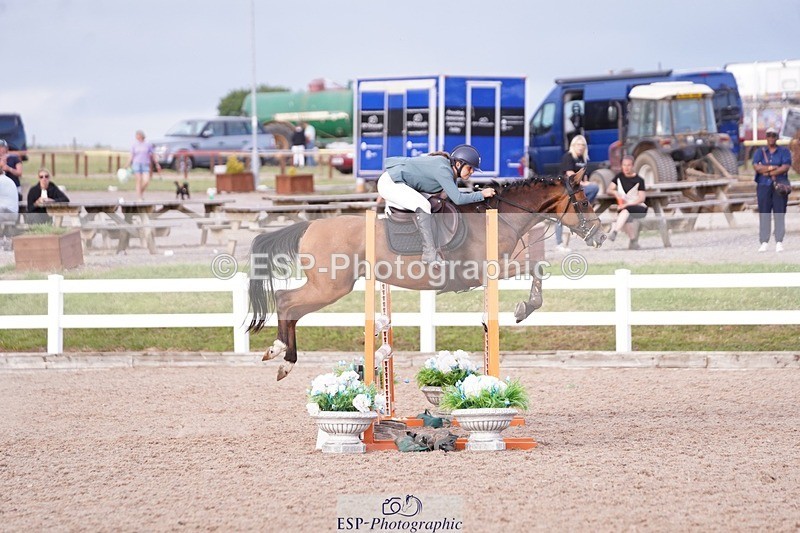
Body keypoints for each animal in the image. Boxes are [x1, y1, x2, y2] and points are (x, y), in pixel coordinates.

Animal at [248, 168, 606, 380]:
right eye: (584, 202)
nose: (601, 237)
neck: (499, 215)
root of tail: (309, 226)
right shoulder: (487, 269)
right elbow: (535, 268)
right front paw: (524, 308)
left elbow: (536, 268)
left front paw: (523, 308)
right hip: (330, 286)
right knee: (287, 300)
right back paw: (281, 354)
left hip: (329, 286)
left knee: (292, 306)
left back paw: (281, 356)